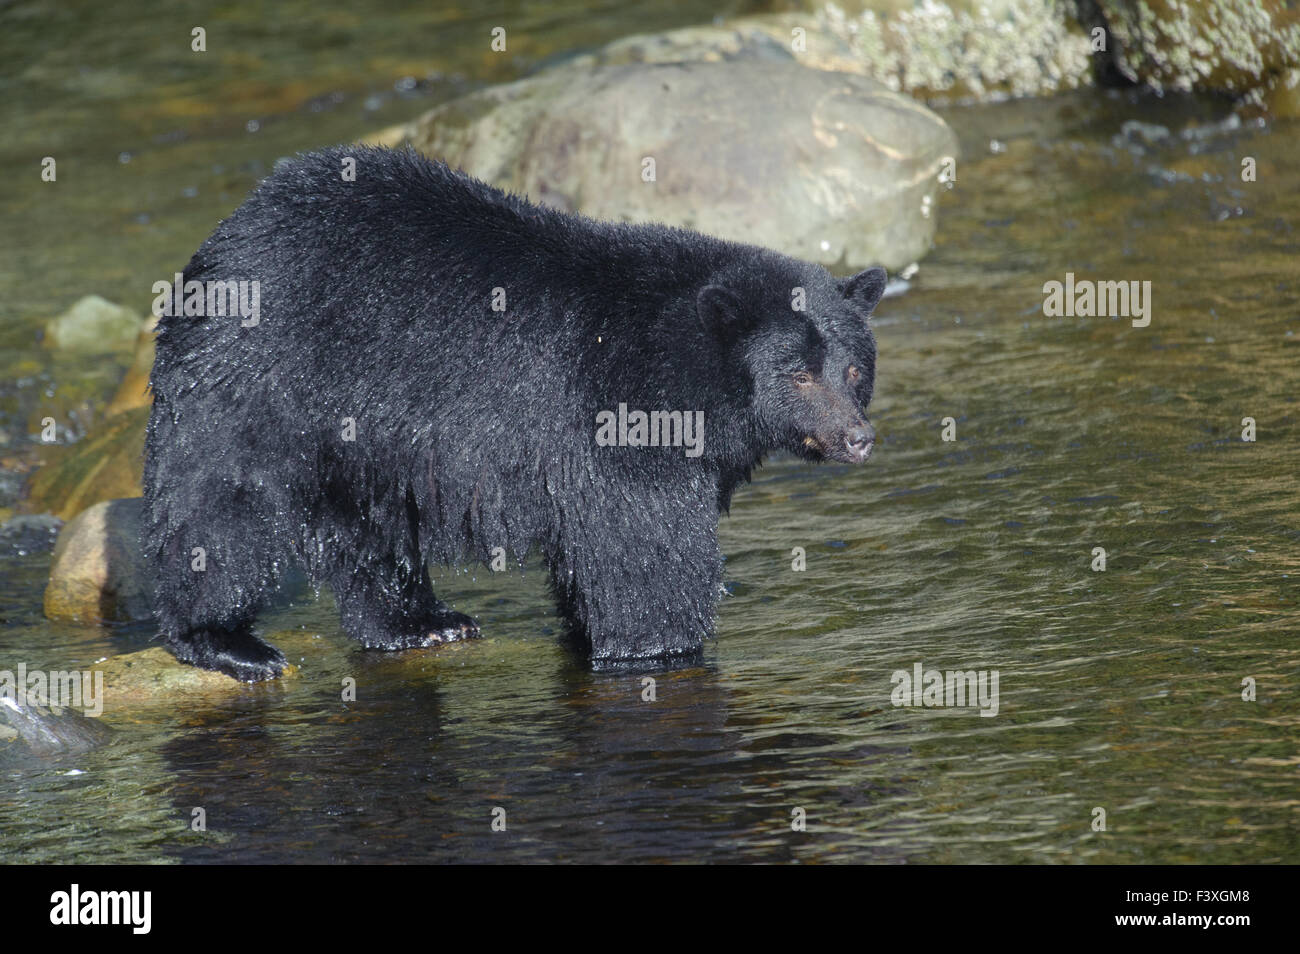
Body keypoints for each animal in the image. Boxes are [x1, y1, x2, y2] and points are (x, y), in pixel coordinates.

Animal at [143, 145, 885, 681]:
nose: (856, 439)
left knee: (369, 527)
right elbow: (643, 548)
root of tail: (224, 239)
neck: (688, 372)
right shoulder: (619, 410)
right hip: (257, 383)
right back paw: (225, 641)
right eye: (796, 374)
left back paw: (420, 622)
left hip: (356, 435)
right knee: (220, 509)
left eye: (853, 370)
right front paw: (659, 646)